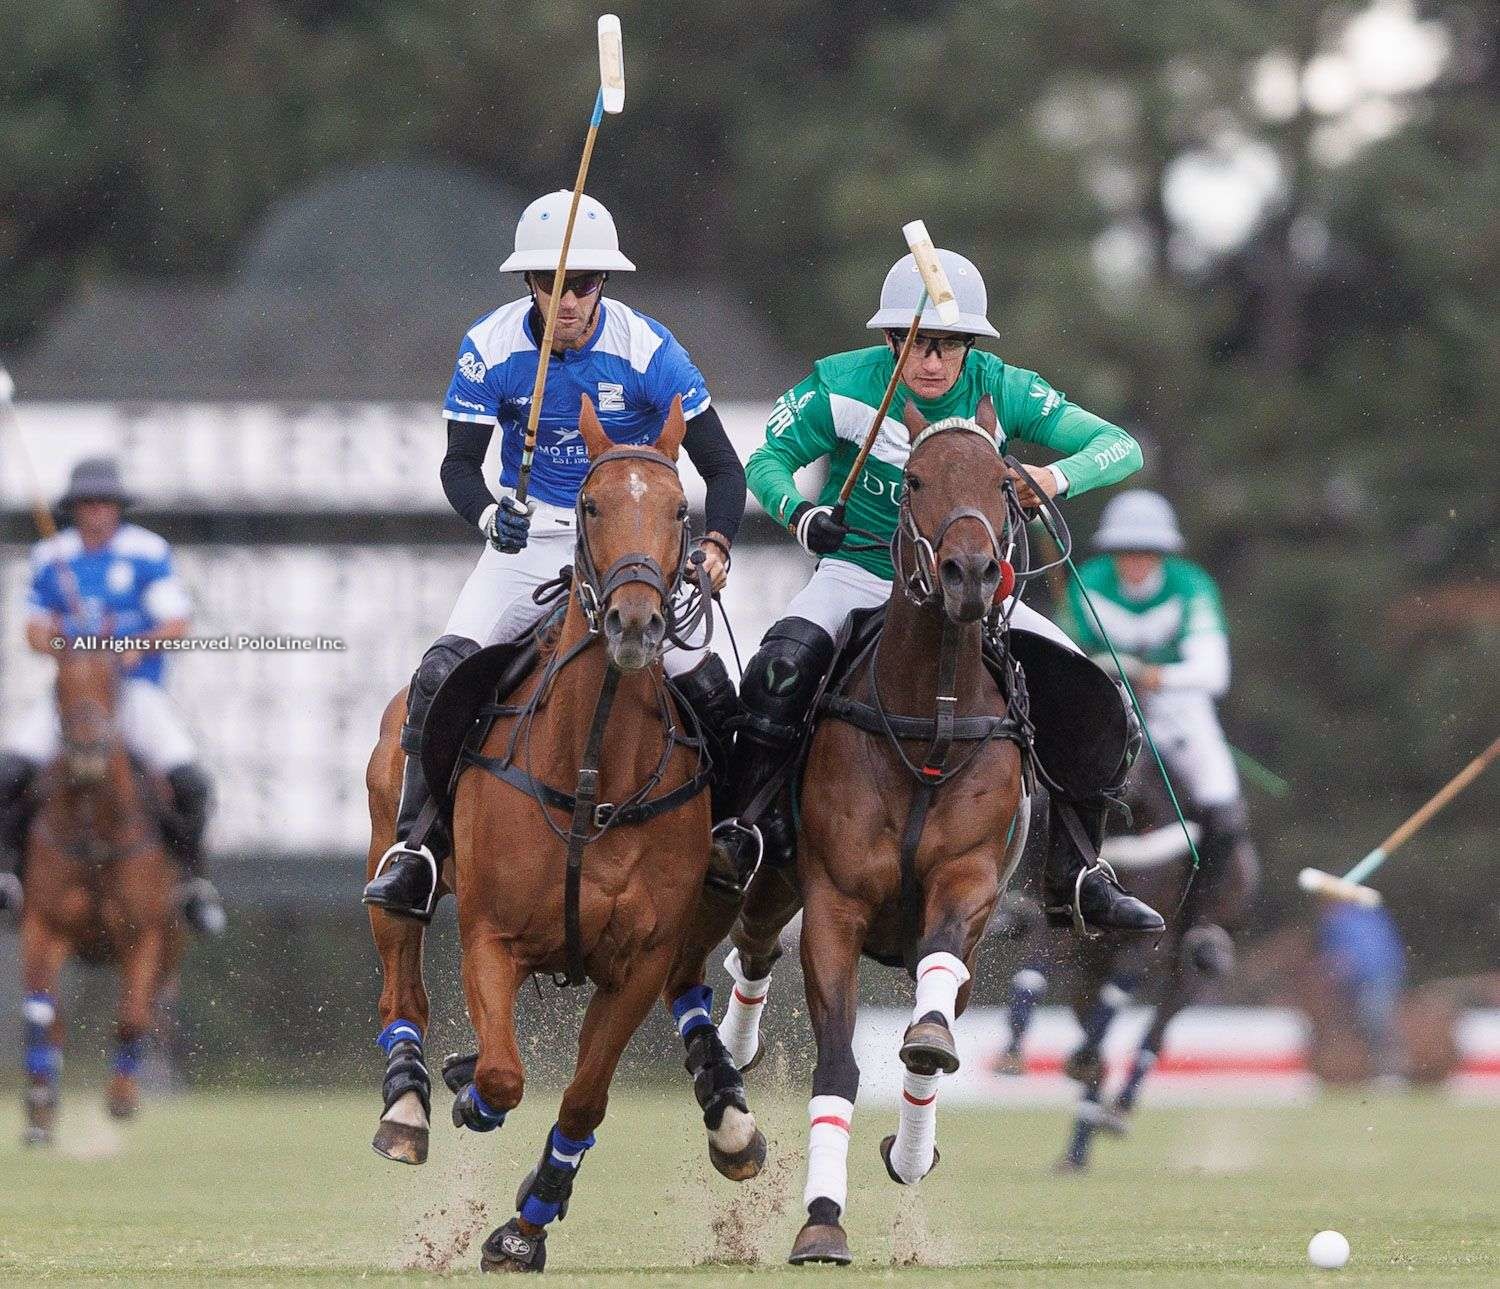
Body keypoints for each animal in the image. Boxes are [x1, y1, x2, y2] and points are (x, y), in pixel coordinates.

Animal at [18, 651, 183, 1146]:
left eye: (111, 681)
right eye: (58, 684)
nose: (88, 753)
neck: (93, 833)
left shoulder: (144, 934)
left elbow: (132, 1015)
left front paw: (122, 1098)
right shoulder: (42, 927)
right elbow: (41, 1014)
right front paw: (39, 1109)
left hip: (173, 942)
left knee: (154, 1007)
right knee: (52, 1021)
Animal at [364, 399, 762, 1272]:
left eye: (678, 510)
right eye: (590, 505)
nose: (637, 621)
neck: (592, 775)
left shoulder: (638, 959)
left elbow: (584, 1097)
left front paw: (525, 1224)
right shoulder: (491, 934)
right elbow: (505, 1076)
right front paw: (470, 1092)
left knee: (692, 981)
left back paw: (730, 1117)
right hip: (386, 842)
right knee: (400, 973)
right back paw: (409, 1103)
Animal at [1002, 762, 1260, 1176]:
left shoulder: (1145, 937)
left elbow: (1119, 993)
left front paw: (1082, 1061)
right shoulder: (1062, 927)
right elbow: (1032, 974)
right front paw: (1012, 1051)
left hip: (1193, 968)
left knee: (1157, 1029)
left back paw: (1116, 1108)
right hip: (1087, 974)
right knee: (1099, 1038)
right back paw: (1079, 1147)